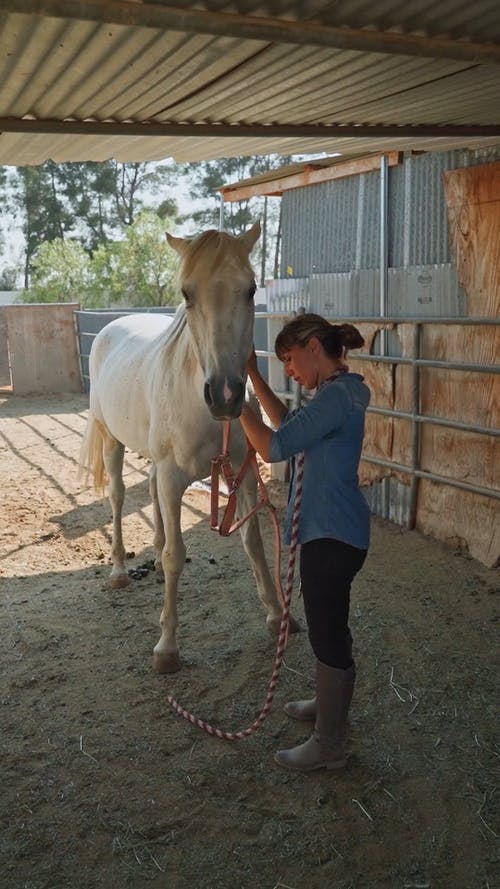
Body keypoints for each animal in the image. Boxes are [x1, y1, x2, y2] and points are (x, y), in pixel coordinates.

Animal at [79, 224, 294, 672]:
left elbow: (252, 541)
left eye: (251, 289)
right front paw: (167, 646)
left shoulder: (244, 471)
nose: (226, 395)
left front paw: (276, 614)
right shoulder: (174, 476)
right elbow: (177, 553)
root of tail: (110, 328)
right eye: (186, 293)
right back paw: (119, 569)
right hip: (113, 441)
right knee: (119, 496)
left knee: (149, 488)